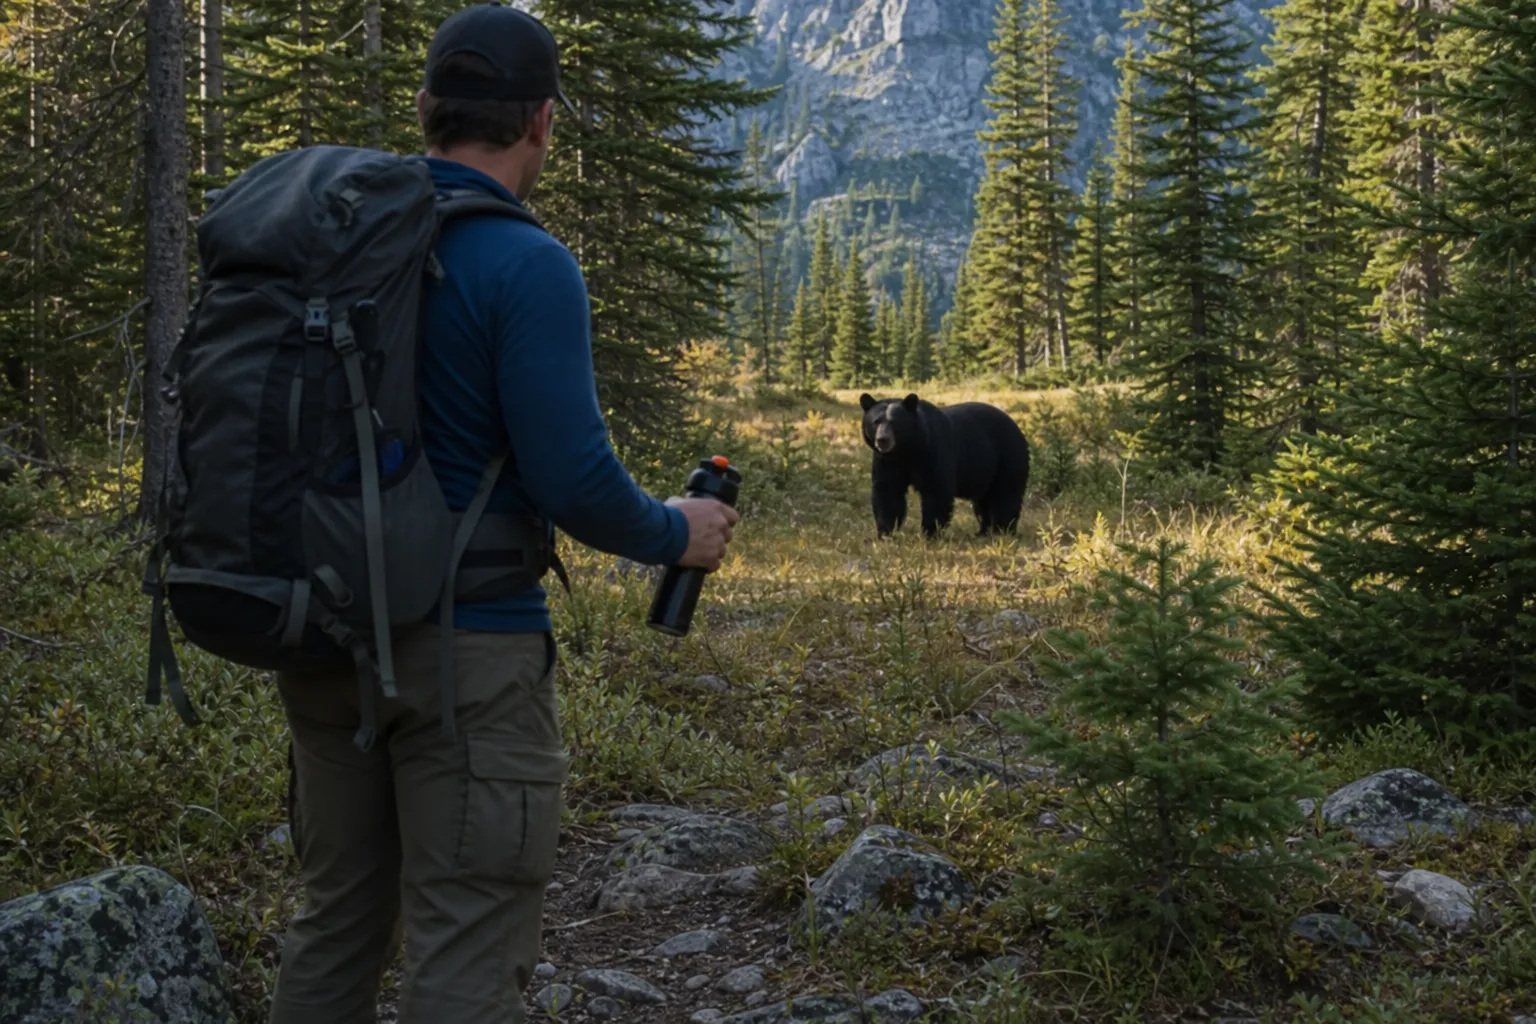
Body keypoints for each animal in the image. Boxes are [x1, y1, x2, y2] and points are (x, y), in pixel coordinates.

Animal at [858, 392, 1031, 539]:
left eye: (895, 422)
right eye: (875, 422)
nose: (882, 440)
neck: (908, 450)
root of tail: (1016, 426)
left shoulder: (934, 451)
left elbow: (937, 490)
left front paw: (929, 532)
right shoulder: (887, 461)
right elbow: (888, 491)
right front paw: (885, 533)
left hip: (1008, 456)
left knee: (1006, 494)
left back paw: (1002, 530)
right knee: (983, 500)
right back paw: (983, 531)